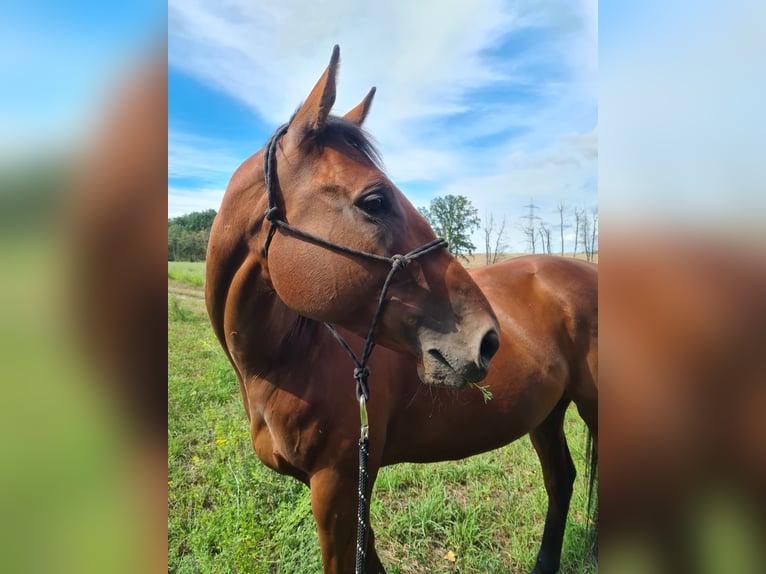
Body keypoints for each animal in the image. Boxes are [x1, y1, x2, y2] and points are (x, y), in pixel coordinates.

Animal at [206, 46, 600, 574]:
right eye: (375, 200)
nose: (488, 340)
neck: (286, 361)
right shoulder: (350, 492)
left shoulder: (337, 488)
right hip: (547, 414)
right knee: (560, 480)